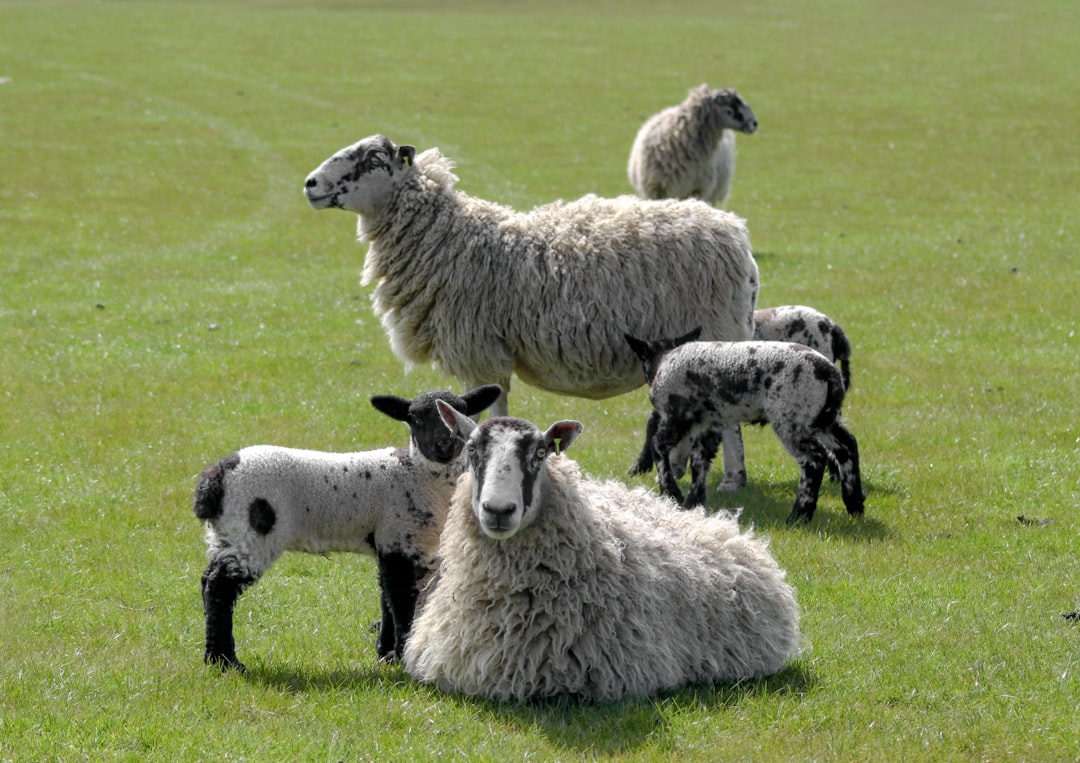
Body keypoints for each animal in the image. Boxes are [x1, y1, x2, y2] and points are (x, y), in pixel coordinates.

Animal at [191, 382, 501, 670]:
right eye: (415, 418)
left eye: (463, 411)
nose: (444, 446)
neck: (420, 475)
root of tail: (215, 477)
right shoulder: (400, 538)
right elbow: (401, 600)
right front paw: (402, 656)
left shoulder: (389, 540)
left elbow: (386, 597)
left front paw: (386, 654)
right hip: (251, 531)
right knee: (220, 586)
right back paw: (224, 660)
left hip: (227, 532)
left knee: (209, 580)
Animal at [302, 131, 760, 415]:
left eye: (372, 159)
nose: (310, 183)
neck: (448, 237)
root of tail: (737, 235)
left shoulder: (482, 353)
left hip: (716, 336)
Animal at [626, 326, 868, 523]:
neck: (663, 360)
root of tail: (828, 372)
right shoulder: (709, 422)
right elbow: (700, 462)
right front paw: (694, 503)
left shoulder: (677, 414)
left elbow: (658, 446)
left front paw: (671, 493)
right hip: (823, 418)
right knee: (847, 446)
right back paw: (854, 504)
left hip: (790, 417)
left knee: (815, 459)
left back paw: (799, 516)